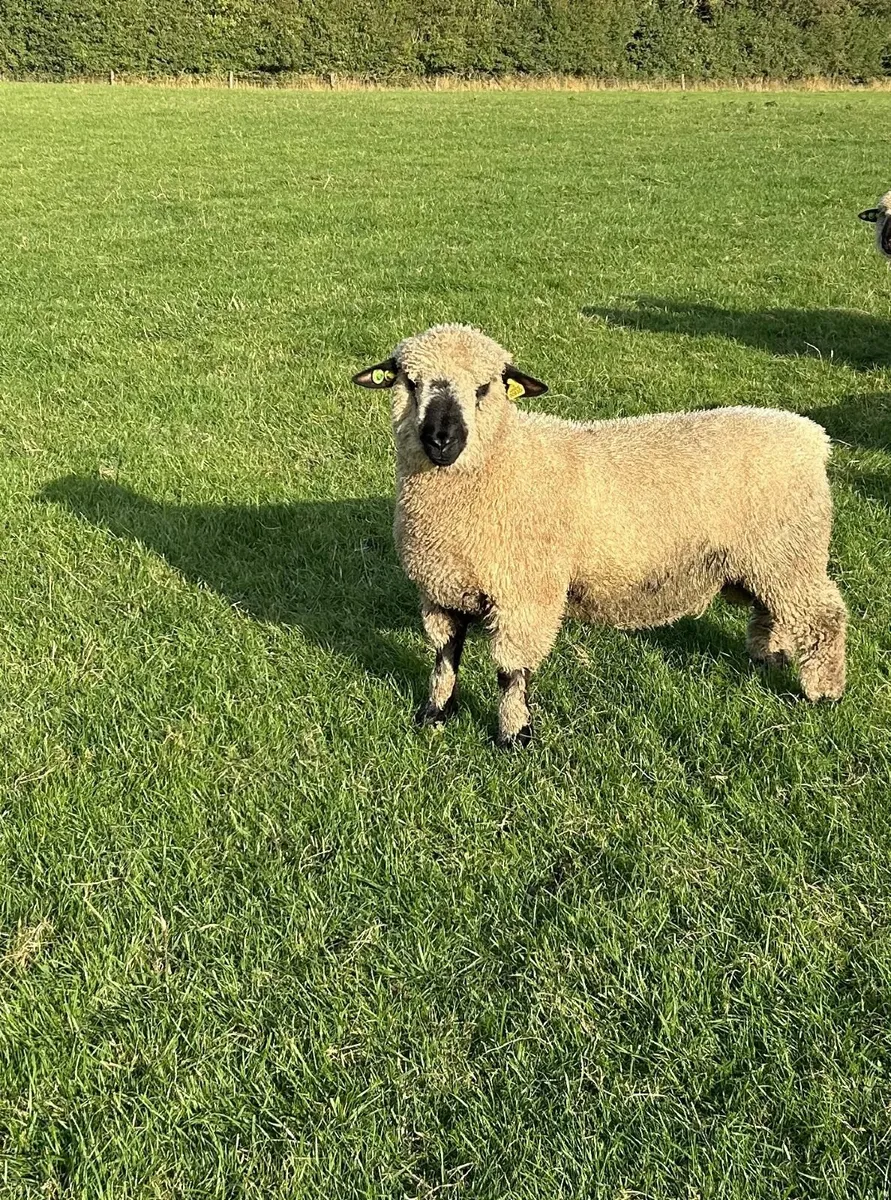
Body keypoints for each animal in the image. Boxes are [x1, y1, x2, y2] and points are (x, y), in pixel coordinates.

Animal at [353, 324, 847, 747]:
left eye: (485, 388)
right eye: (409, 382)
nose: (441, 440)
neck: (504, 460)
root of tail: (811, 436)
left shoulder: (525, 593)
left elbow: (511, 672)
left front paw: (515, 735)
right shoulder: (440, 588)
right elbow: (445, 655)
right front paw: (435, 713)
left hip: (788, 551)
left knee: (824, 616)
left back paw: (824, 691)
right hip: (767, 558)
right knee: (774, 610)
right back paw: (769, 653)